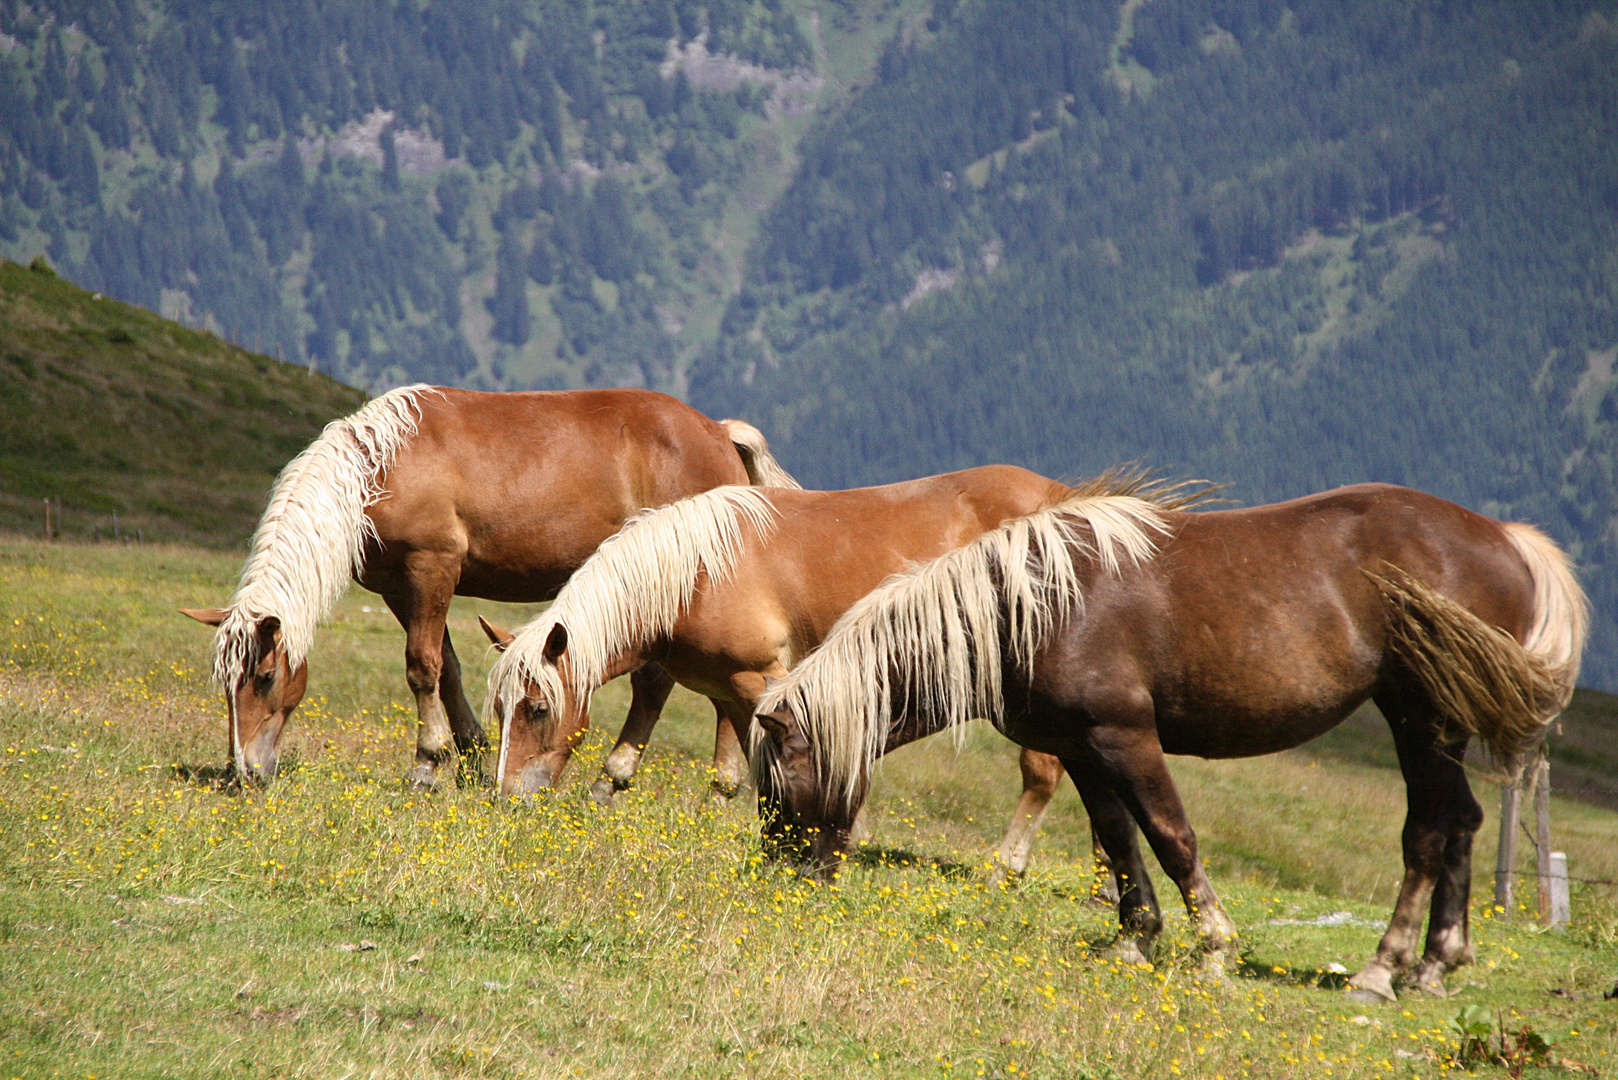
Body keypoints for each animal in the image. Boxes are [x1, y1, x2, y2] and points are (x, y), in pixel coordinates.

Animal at [177, 383, 796, 790]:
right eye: (225, 685)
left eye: (263, 677)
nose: (243, 773)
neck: (381, 467)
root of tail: (718, 432)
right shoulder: (398, 587)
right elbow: (445, 667)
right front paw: (470, 754)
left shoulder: (432, 567)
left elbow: (421, 667)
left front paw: (427, 764)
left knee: (664, 684)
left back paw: (653, 780)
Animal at [478, 466, 1152, 861]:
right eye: (501, 712)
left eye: (536, 709)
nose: (506, 799)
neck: (697, 571)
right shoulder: (729, 687)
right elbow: (732, 768)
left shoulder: (761, 682)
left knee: (1044, 770)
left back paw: (1008, 867)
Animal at [750, 482, 1585, 1003]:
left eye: (778, 784)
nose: (779, 880)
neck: (1034, 606)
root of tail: (1507, 541)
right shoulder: (1082, 748)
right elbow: (1119, 838)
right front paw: (1136, 937)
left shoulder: (1125, 737)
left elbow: (1169, 834)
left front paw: (1214, 946)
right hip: (1433, 726)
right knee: (1465, 823)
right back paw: (1437, 964)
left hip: (1422, 720)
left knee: (1430, 833)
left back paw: (1382, 970)